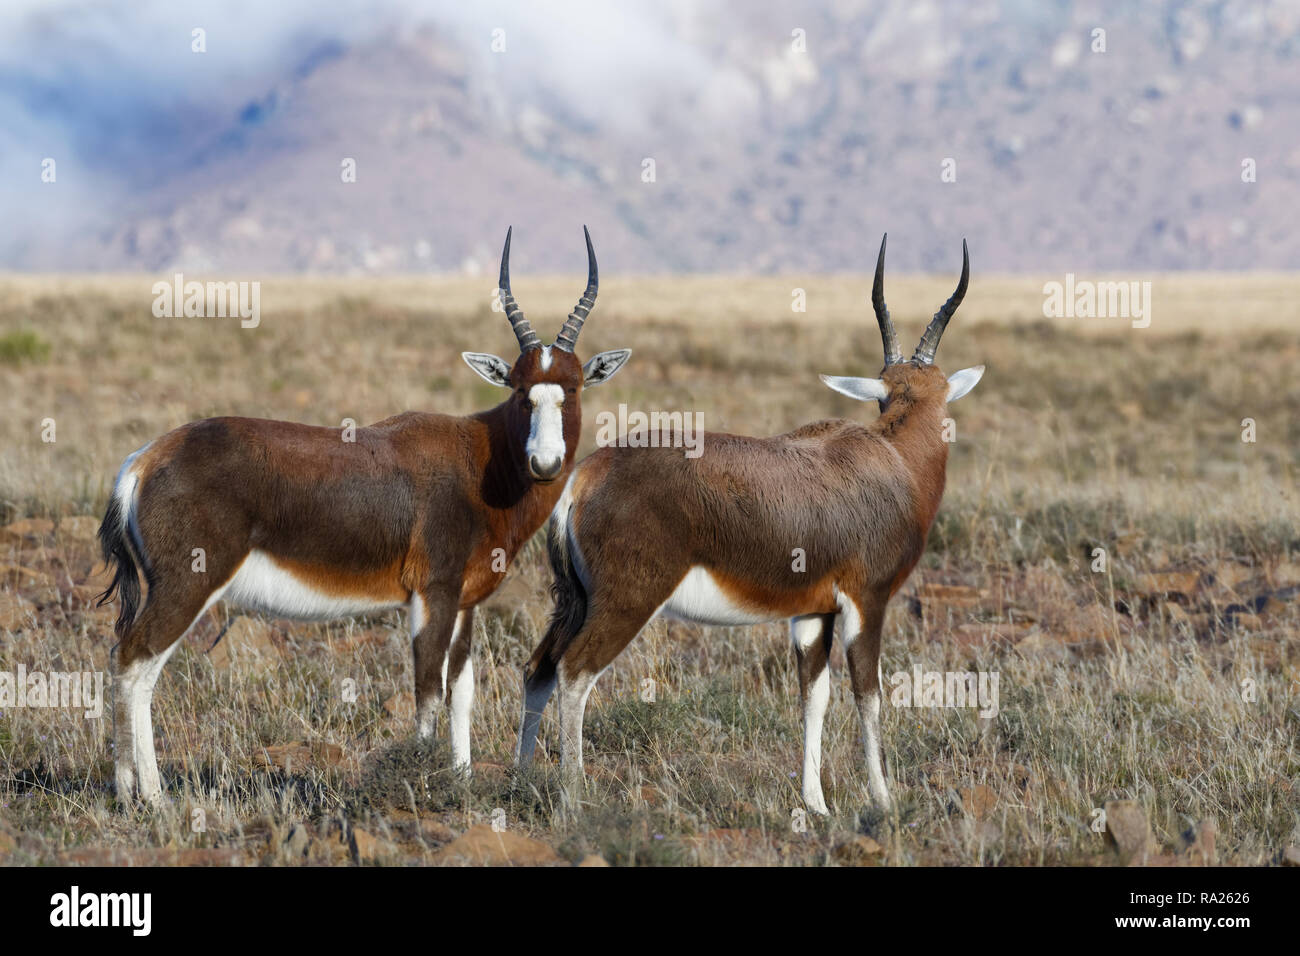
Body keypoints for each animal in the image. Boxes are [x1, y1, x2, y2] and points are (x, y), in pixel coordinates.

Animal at [98, 227, 631, 806]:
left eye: (572, 388)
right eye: (518, 388)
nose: (545, 463)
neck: (477, 457)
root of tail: (143, 462)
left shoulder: (465, 602)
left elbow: (461, 690)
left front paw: (462, 783)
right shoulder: (430, 595)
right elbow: (427, 692)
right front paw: (427, 784)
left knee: (129, 664)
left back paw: (130, 791)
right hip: (187, 586)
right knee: (134, 664)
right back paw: (149, 797)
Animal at [512, 235, 977, 811]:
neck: (888, 457)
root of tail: (583, 478)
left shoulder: (811, 612)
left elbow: (814, 696)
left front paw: (816, 805)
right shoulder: (866, 602)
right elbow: (867, 695)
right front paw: (883, 804)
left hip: (573, 601)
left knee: (539, 669)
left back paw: (520, 781)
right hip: (625, 602)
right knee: (574, 673)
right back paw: (574, 800)